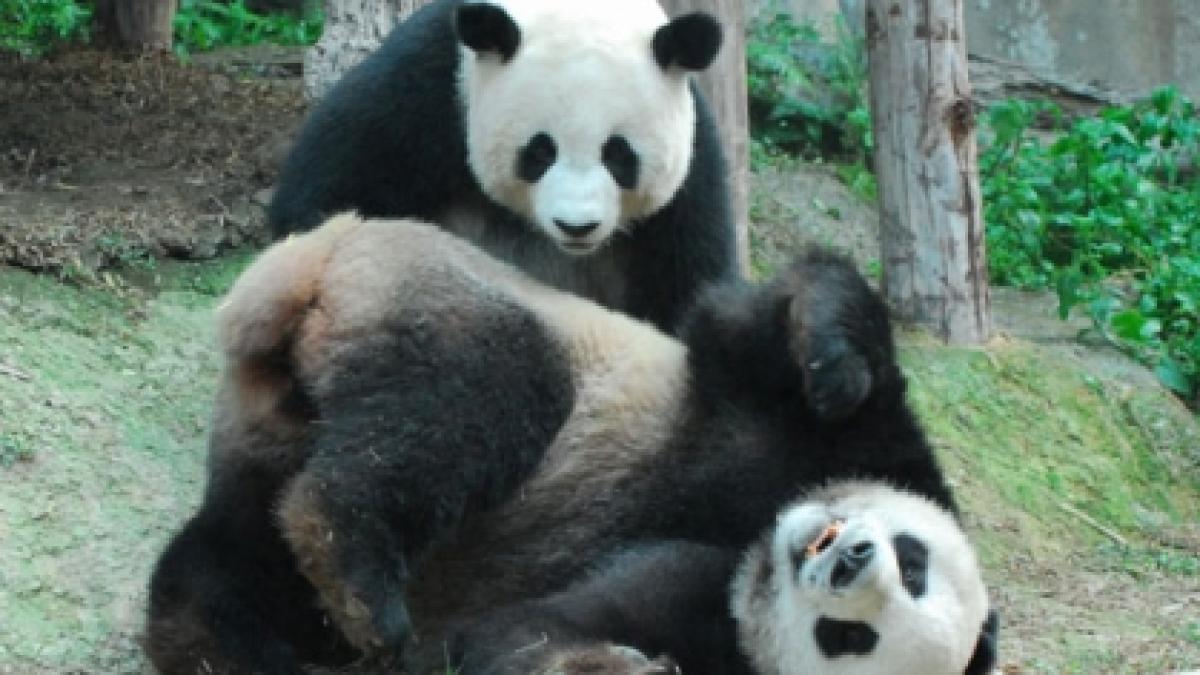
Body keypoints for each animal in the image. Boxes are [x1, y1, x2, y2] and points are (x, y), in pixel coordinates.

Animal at [267, 0, 735, 333]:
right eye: (540, 152)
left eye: (619, 155)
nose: (576, 226)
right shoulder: (427, 93)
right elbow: (325, 199)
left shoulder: (693, 168)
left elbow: (690, 282)